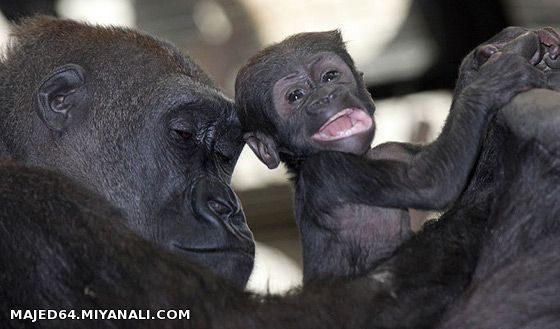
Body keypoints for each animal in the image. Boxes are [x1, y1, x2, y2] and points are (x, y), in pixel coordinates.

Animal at [234, 28, 544, 280]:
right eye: (295, 96)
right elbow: (429, 183)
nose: (326, 96)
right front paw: (493, 78)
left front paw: (481, 59)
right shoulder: (328, 171)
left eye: (330, 76)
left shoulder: (390, 151)